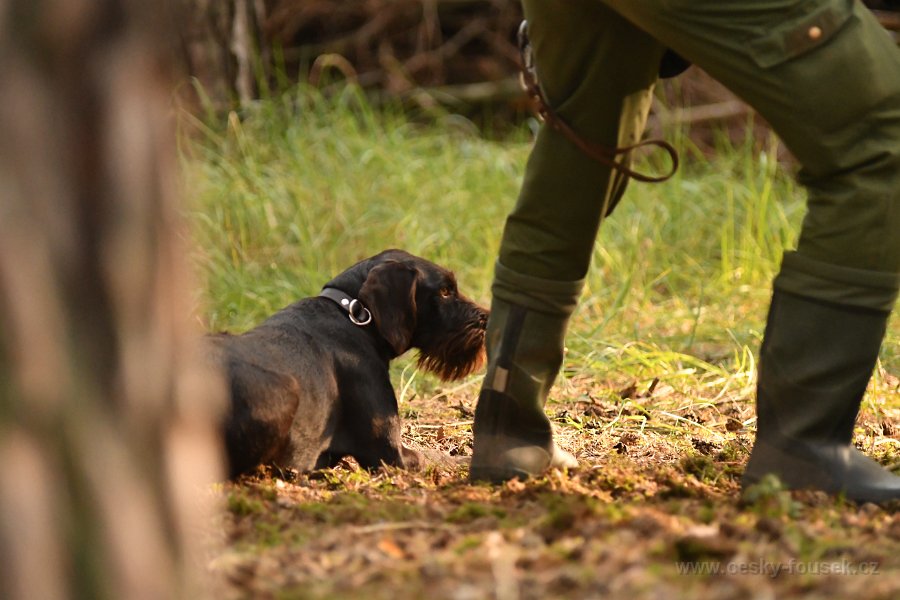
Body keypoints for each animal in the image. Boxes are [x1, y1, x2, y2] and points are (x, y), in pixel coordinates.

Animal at [208, 248, 488, 478]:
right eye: (444, 291)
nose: (487, 318)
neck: (356, 316)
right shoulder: (391, 455)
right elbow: (438, 458)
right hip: (285, 390)